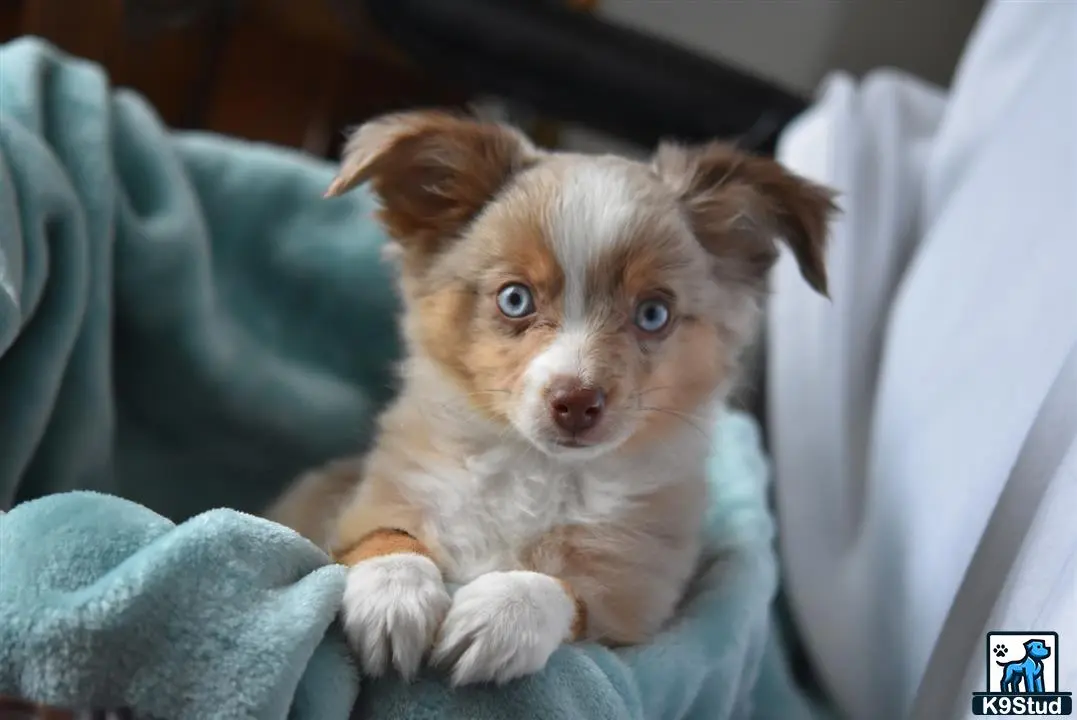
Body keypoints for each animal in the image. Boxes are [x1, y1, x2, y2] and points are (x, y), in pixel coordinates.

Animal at [267, 110, 831, 684]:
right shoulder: (360, 507)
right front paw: (393, 590)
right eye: (515, 299)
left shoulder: (634, 600)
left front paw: (504, 613)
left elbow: (563, 587)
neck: (536, 469)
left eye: (654, 313)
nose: (577, 402)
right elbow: (383, 535)